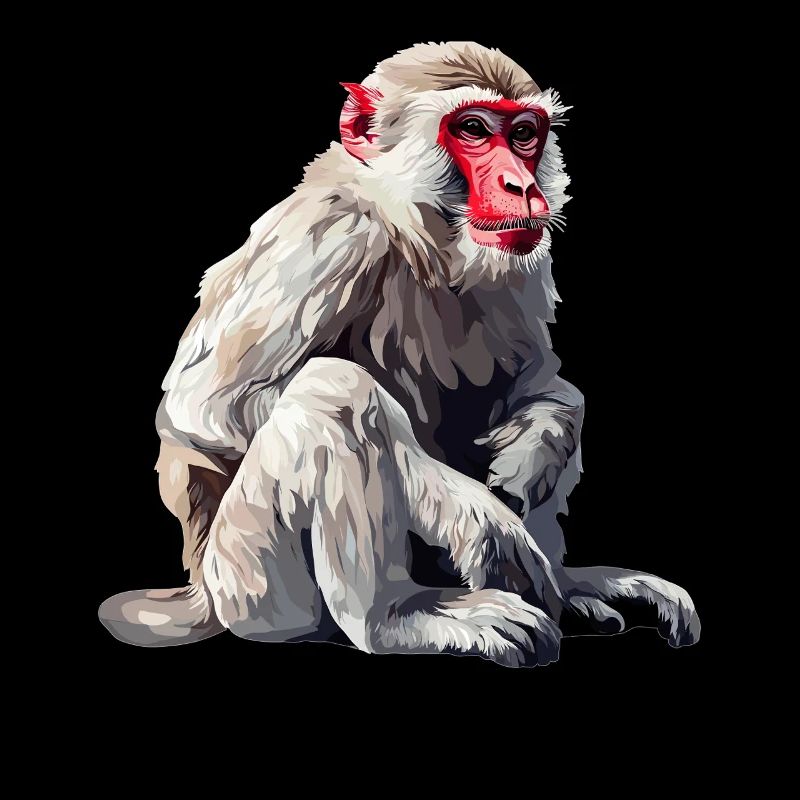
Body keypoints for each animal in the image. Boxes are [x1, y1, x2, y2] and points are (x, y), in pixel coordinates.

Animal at [99, 41, 700, 667]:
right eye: (473, 129)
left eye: (524, 134)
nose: (521, 186)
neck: (419, 232)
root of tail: (202, 592)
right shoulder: (331, 235)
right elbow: (206, 411)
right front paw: (469, 510)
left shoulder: (523, 259)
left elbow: (541, 381)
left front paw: (535, 447)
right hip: (250, 584)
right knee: (334, 393)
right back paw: (398, 617)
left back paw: (569, 587)